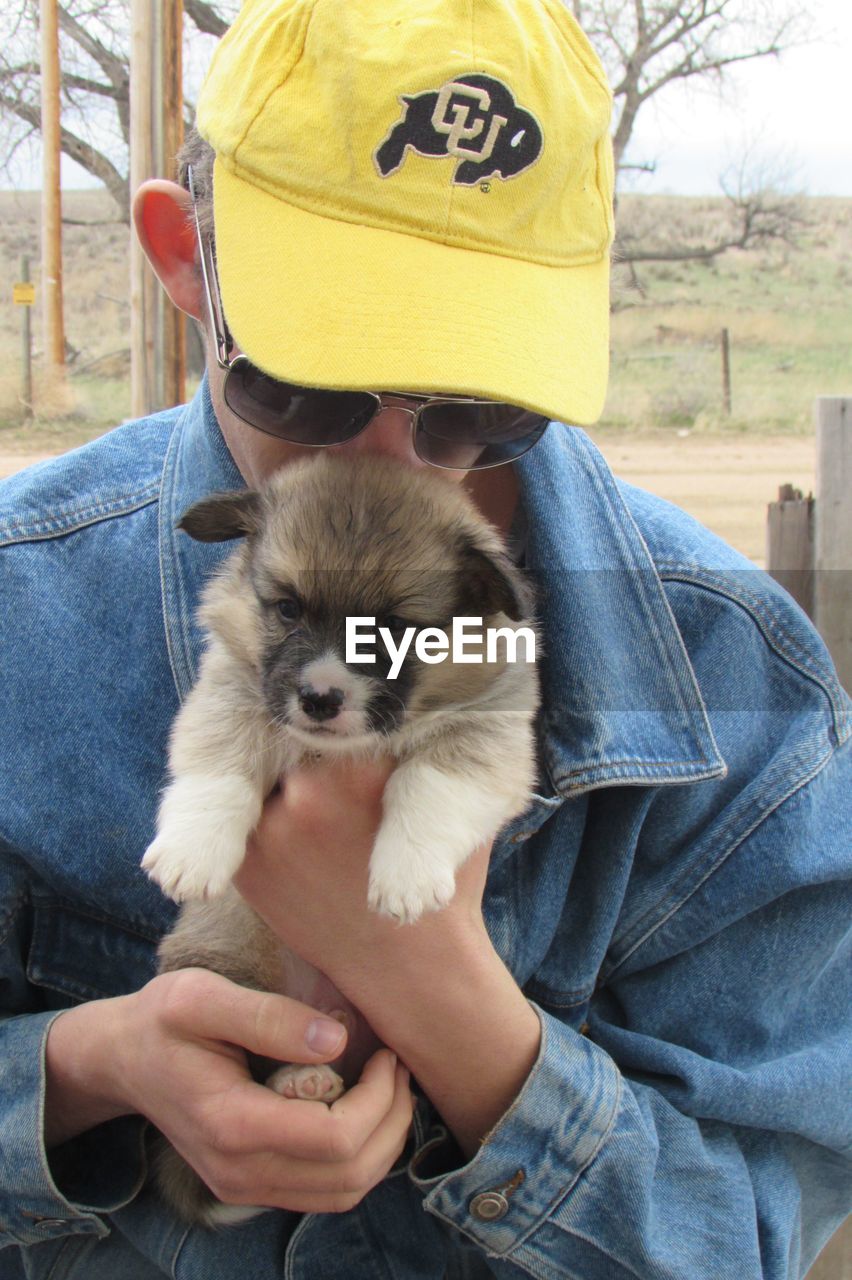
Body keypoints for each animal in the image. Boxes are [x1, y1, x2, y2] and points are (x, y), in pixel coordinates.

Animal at [139, 455, 537, 1223]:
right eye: (287, 608)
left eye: (394, 629)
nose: (320, 698)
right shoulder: (233, 688)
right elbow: (219, 760)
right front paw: (193, 849)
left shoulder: (490, 736)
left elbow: (429, 784)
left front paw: (404, 877)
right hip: (223, 971)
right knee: (259, 1057)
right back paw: (300, 1078)